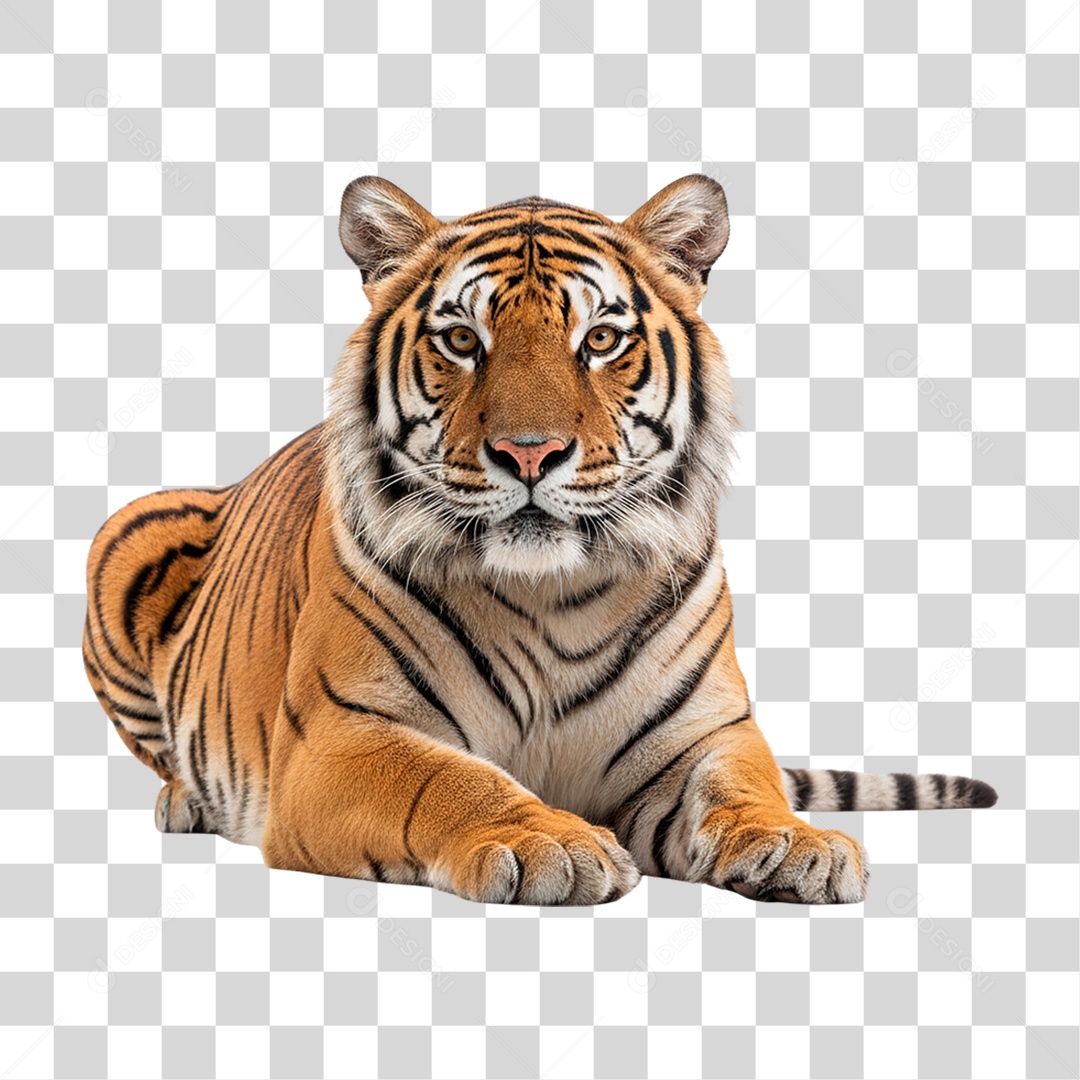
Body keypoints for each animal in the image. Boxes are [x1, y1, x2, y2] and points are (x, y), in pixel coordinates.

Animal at [83, 174, 997, 906]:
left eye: (600, 340)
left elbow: (745, 785)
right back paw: (184, 801)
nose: (530, 453)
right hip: (125, 530)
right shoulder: (340, 736)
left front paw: (796, 844)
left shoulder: (705, 735)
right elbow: (447, 779)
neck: (553, 591)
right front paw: (548, 841)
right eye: (461, 340)